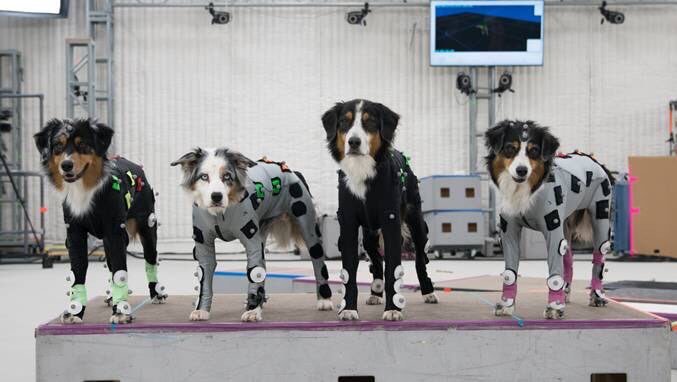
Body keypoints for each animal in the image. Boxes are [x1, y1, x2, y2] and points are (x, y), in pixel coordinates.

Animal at [33, 118, 166, 324]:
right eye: (58, 146)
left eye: (83, 145)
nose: (66, 165)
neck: (85, 189)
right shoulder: (75, 234)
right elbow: (78, 274)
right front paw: (75, 311)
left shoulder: (114, 232)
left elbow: (120, 272)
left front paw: (120, 311)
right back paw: (111, 296)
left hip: (147, 226)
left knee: (150, 260)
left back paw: (156, 293)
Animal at [170, 148, 332, 320]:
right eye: (204, 176)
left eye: (227, 176)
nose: (216, 196)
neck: (220, 213)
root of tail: (290, 171)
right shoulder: (204, 244)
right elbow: (204, 276)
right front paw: (202, 310)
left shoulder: (251, 241)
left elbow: (255, 272)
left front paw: (253, 311)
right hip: (262, 233)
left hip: (307, 227)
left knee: (318, 262)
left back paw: (324, 300)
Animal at [320, 97, 438, 320]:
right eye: (344, 122)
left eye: (370, 122)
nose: (354, 142)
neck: (362, 171)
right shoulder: (348, 222)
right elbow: (349, 272)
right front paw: (349, 309)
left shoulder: (390, 220)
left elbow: (393, 268)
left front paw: (393, 309)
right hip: (369, 234)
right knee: (375, 260)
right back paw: (375, 292)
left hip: (416, 222)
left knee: (420, 259)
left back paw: (428, 292)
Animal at [484, 121, 616, 318]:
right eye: (509, 148)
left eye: (534, 150)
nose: (522, 170)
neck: (526, 191)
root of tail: (594, 160)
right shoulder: (509, 232)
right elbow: (509, 274)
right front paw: (507, 304)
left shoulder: (552, 230)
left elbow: (554, 276)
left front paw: (554, 307)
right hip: (565, 225)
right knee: (568, 258)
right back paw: (566, 293)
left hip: (600, 216)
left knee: (598, 258)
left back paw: (597, 296)